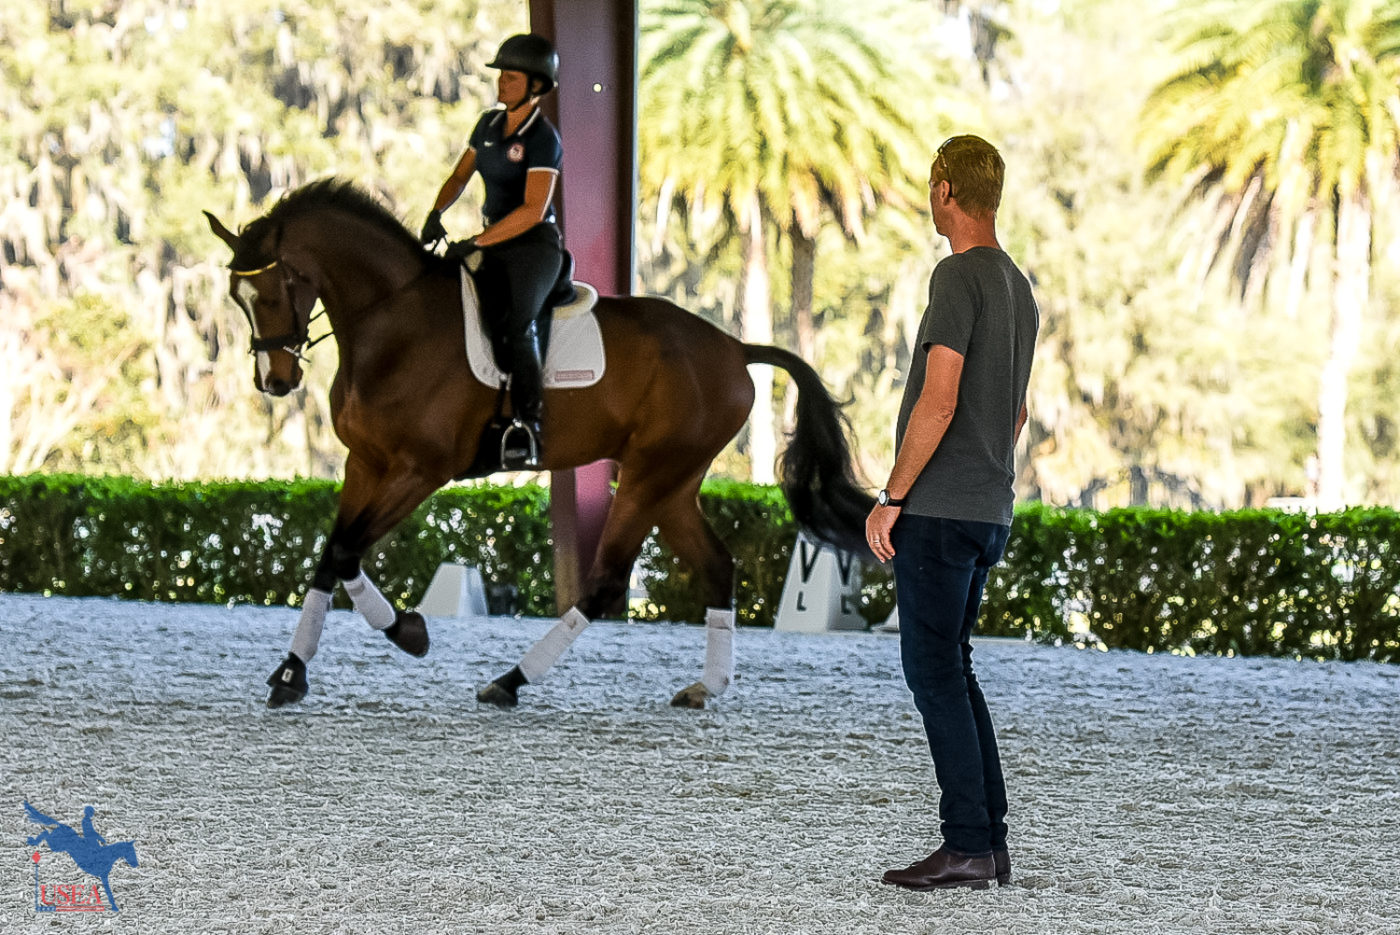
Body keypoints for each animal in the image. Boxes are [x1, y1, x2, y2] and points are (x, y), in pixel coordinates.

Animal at [204, 179, 873, 711]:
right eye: (239, 299)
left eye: (273, 292)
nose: (275, 381)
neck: (393, 322)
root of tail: (734, 348)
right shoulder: (364, 463)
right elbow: (329, 556)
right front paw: (292, 673)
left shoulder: (420, 471)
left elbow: (345, 552)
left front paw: (410, 633)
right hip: (672, 481)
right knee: (715, 566)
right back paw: (705, 687)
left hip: (652, 473)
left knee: (606, 583)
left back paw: (511, 680)